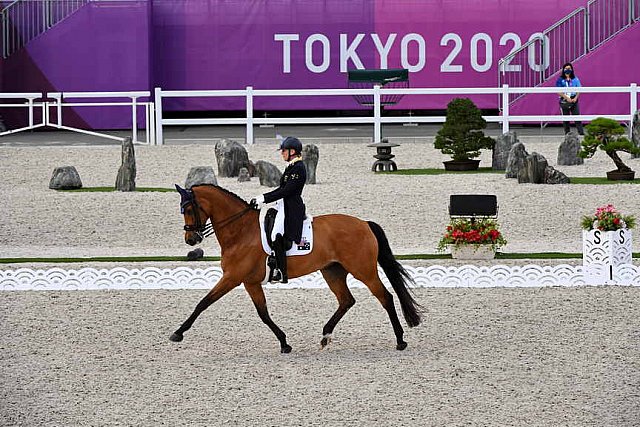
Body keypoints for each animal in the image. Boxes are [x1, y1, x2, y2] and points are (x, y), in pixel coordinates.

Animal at [170, 186, 420, 352]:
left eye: (189, 209)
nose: (191, 240)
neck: (240, 231)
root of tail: (364, 224)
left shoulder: (232, 277)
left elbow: (203, 302)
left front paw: (178, 333)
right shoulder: (249, 282)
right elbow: (263, 313)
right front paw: (284, 343)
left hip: (363, 271)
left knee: (385, 296)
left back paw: (400, 340)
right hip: (332, 271)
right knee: (346, 300)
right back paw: (325, 335)